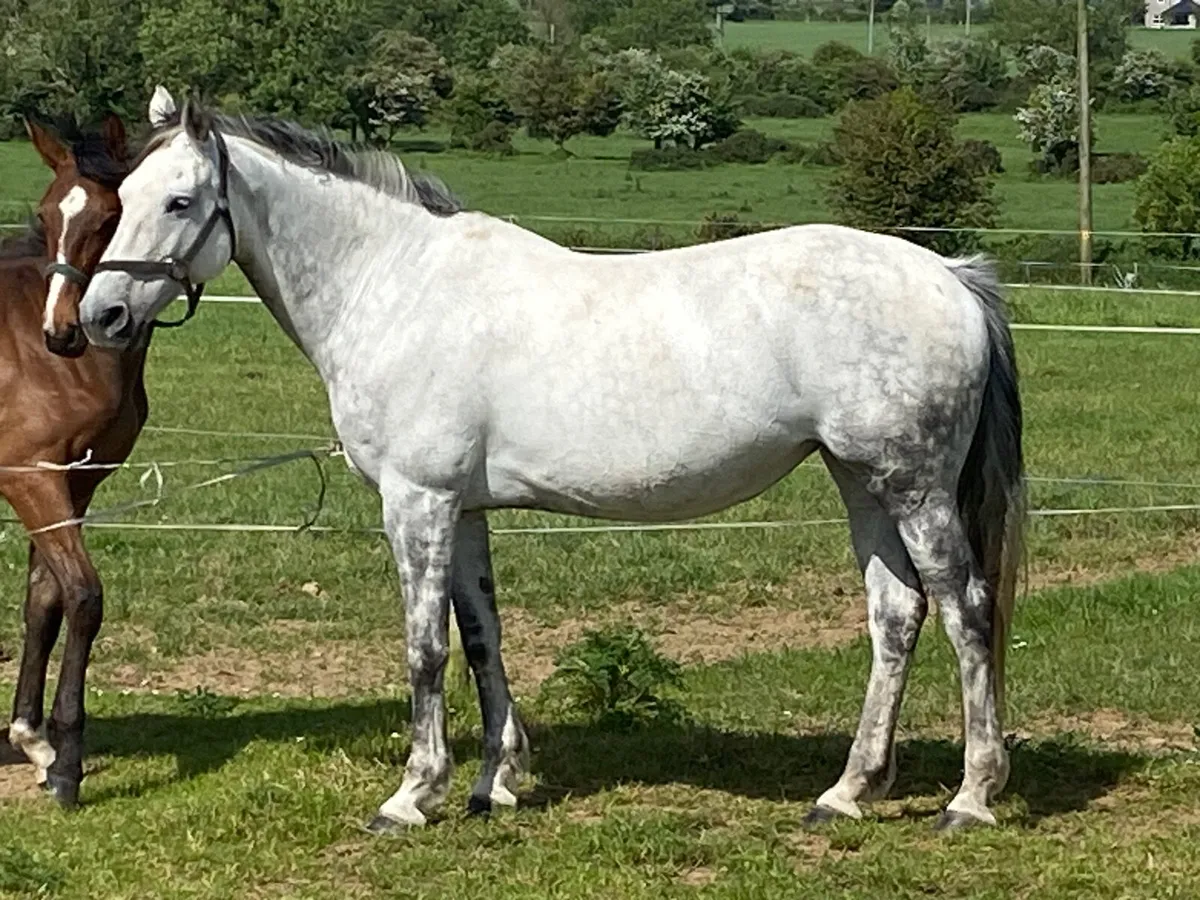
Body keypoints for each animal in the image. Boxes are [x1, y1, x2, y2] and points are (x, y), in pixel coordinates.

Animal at [79, 88, 1025, 833]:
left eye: (179, 201)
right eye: (121, 195)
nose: (100, 317)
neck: (394, 286)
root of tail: (949, 273)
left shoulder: (416, 501)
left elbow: (424, 647)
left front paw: (412, 795)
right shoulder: (462, 510)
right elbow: (481, 639)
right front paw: (494, 784)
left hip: (914, 487)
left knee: (966, 610)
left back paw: (970, 798)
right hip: (859, 480)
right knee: (896, 615)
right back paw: (847, 792)